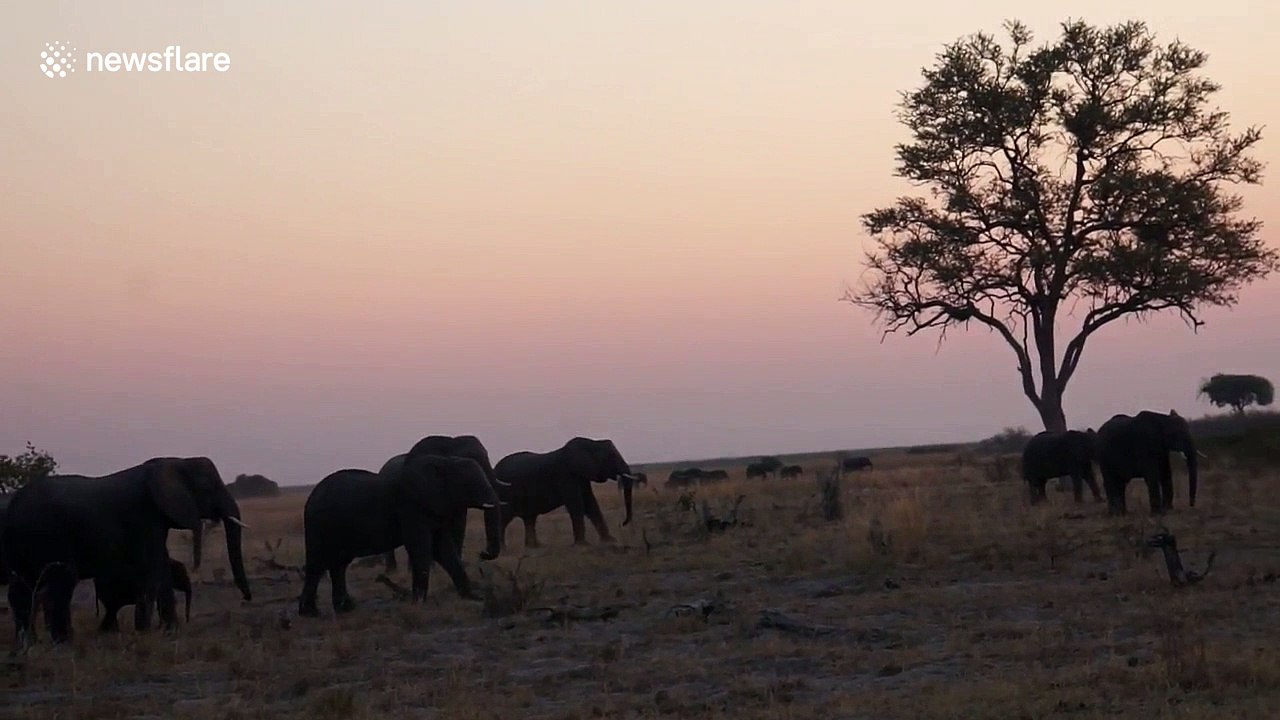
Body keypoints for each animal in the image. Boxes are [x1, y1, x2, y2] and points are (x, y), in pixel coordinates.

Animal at [2, 457, 251, 644]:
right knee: (61, 582)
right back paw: (64, 643)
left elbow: (161, 565)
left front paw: (168, 632)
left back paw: (29, 644)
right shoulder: (144, 516)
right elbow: (155, 565)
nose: (245, 600)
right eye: (209, 488)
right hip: (47, 534)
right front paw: (149, 632)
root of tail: (13, 505)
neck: (174, 462)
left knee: (24, 588)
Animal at [298, 454, 502, 617]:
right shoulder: (411, 506)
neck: (445, 462)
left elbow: (443, 550)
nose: (482, 554)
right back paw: (311, 614)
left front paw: (472, 597)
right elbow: (421, 548)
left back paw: (346, 609)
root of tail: (311, 497)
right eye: (470, 483)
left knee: (339, 564)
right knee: (317, 563)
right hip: (318, 523)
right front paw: (418, 604)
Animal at [495, 437, 634, 548]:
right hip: (505, 492)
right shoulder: (566, 475)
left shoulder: (581, 477)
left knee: (530, 518)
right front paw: (582, 545)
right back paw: (503, 550)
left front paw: (610, 541)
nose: (623, 523)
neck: (591, 442)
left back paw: (535, 547)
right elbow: (577, 505)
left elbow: (591, 504)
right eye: (611, 457)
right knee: (504, 517)